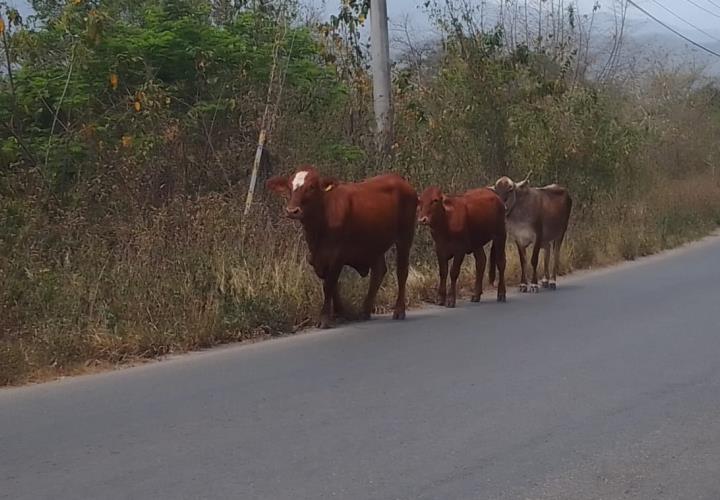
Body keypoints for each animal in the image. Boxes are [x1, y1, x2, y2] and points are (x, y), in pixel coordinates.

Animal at [268, 164, 420, 328]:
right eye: (290, 187)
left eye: (311, 186)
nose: (292, 210)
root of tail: (400, 180)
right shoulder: (318, 258)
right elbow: (331, 283)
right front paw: (340, 312)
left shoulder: (337, 255)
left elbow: (329, 284)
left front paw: (324, 318)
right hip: (374, 244)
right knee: (379, 271)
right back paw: (365, 311)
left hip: (405, 236)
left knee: (401, 272)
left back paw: (399, 310)